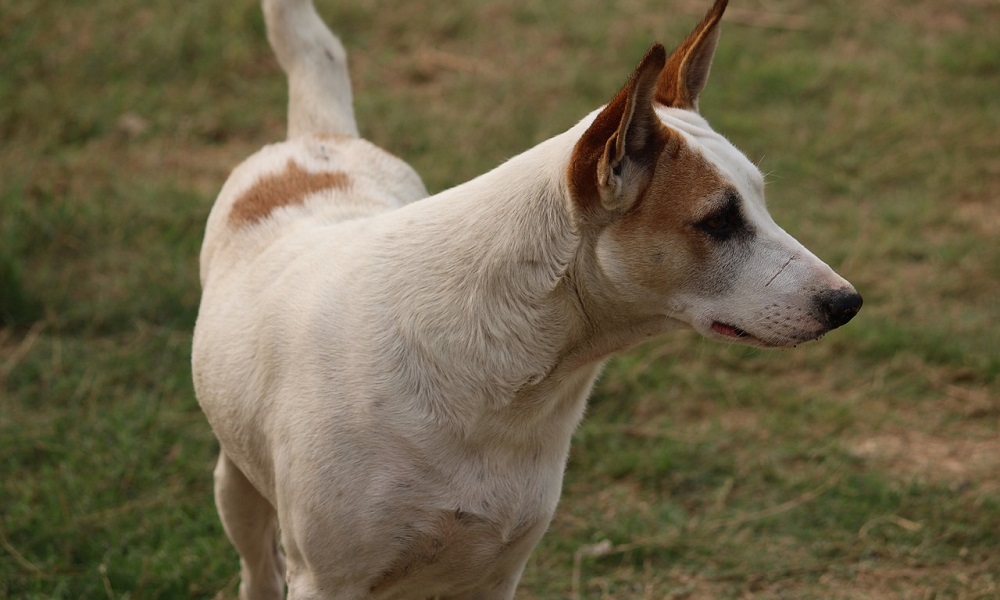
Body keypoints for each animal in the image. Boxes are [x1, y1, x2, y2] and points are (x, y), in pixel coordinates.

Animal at [193, 1, 860, 596]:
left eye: (761, 201)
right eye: (718, 221)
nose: (847, 303)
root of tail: (319, 139)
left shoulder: (495, 571)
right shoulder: (328, 581)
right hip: (237, 490)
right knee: (258, 570)